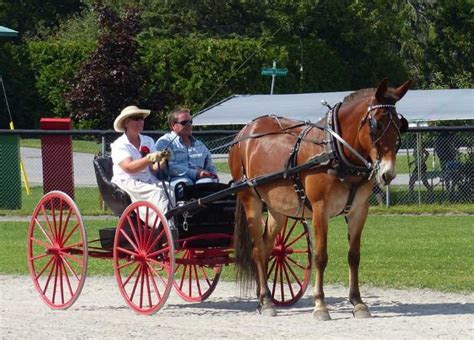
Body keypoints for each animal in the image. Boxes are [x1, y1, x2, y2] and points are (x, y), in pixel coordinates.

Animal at [228, 77, 410, 318]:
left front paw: (357, 302)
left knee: (268, 248)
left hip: (277, 208)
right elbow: (321, 257)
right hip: (251, 199)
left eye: (400, 125)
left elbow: (354, 256)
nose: (388, 173)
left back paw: (262, 296)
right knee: (257, 250)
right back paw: (266, 300)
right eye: (376, 125)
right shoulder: (320, 209)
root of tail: (244, 133)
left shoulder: (359, 210)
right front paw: (320, 305)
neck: (337, 151)